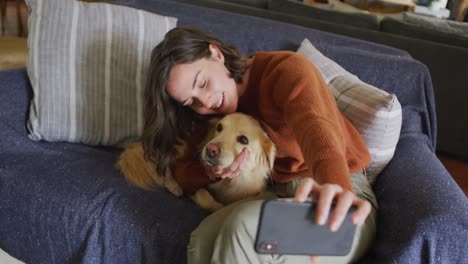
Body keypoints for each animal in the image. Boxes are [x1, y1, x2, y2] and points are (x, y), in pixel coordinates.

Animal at [116, 112, 276, 211]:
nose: (211, 149)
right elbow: (206, 199)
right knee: (163, 166)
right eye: (219, 127)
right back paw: (174, 186)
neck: (228, 182)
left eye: (244, 140)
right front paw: (217, 207)